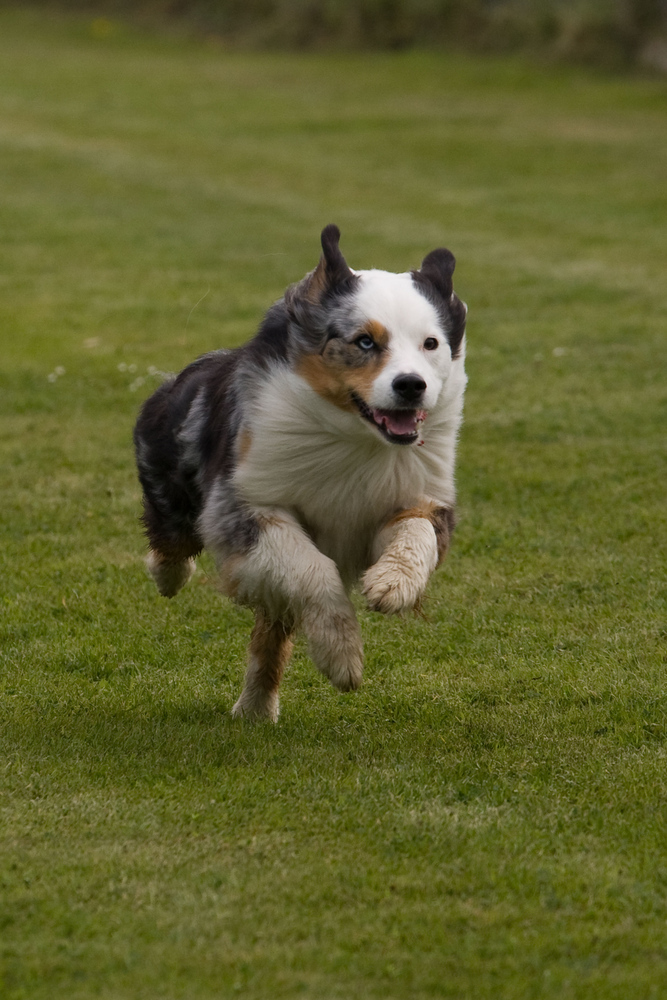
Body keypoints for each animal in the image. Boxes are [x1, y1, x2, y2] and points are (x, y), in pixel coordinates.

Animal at [134, 229, 470, 720]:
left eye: (431, 343)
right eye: (364, 342)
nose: (412, 385)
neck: (353, 439)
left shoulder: (417, 497)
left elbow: (416, 535)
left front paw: (393, 584)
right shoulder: (247, 505)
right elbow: (314, 569)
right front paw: (342, 657)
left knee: (270, 632)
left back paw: (255, 709)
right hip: (170, 485)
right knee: (173, 539)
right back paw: (168, 576)